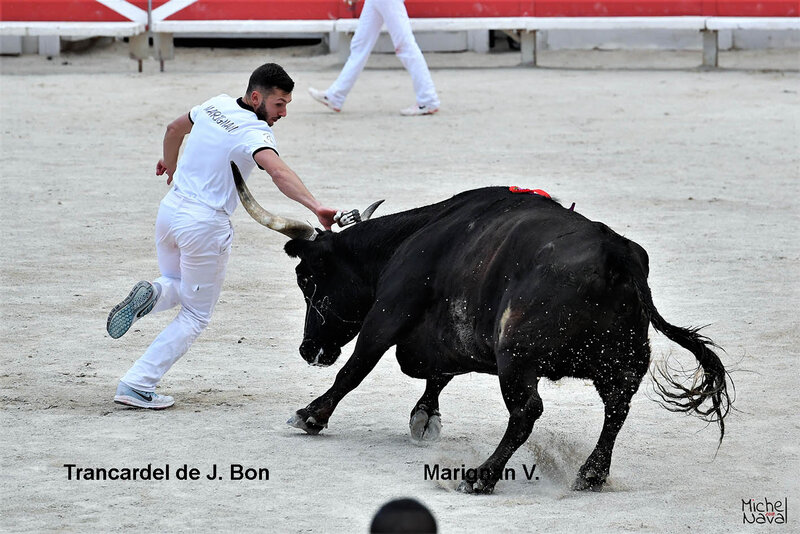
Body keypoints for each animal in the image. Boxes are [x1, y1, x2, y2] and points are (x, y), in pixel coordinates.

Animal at [236, 179, 732, 494]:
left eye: (307, 278)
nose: (309, 350)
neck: (412, 237)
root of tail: (617, 253)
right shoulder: (456, 340)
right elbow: (438, 374)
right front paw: (424, 417)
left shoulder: (387, 314)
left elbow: (355, 370)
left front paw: (310, 415)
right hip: (622, 362)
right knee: (617, 409)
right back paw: (591, 474)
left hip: (517, 357)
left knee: (528, 411)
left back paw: (482, 476)